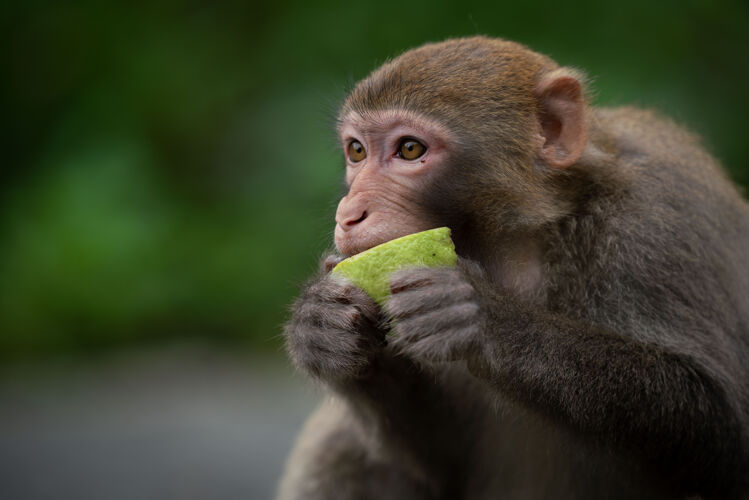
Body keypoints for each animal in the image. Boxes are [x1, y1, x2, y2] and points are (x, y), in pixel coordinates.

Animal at [276, 36, 748, 500]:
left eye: (410, 149)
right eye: (357, 150)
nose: (348, 213)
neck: (521, 243)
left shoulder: (661, 219)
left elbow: (721, 429)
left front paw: (481, 316)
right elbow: (443, 461)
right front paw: (320, 324)